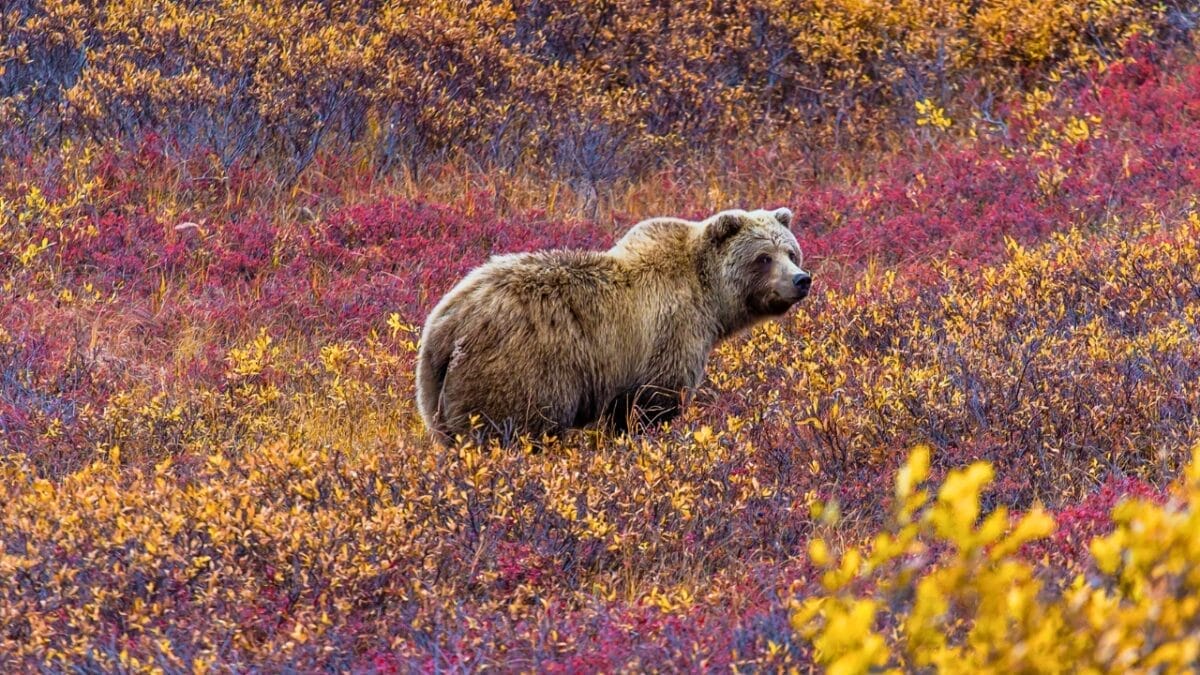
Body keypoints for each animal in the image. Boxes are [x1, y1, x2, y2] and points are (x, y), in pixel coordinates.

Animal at [414, 207, 811, 445]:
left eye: (791, 252)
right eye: (763, 258)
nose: (801, 279)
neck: (709, 298)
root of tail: (446, 325)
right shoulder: (669, 334)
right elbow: (652, 402)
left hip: (435, 393)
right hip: (518, 371)